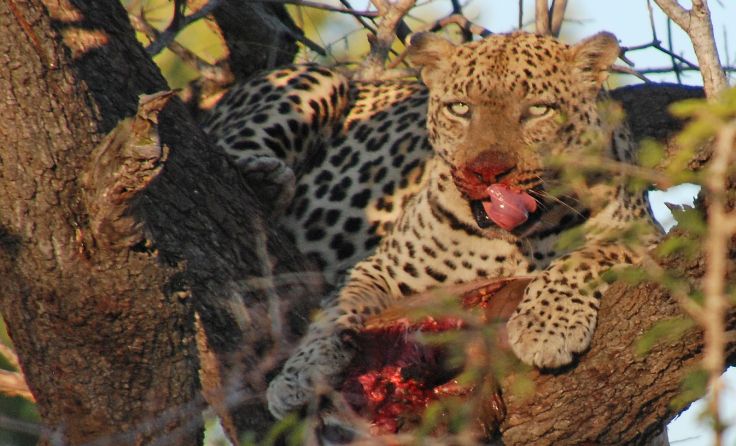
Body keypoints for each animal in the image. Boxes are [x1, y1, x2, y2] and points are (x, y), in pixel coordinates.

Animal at [202, 31, 660, 422]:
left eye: (538, 110)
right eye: (460, 108)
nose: (485, 171)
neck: (513, 244)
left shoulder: (648, 240)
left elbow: (585, 257)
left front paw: (546, 326)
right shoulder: (382, 267)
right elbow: (337, 310)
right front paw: (300, 373)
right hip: (320, 78)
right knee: (227, 146)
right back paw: (263, 176)